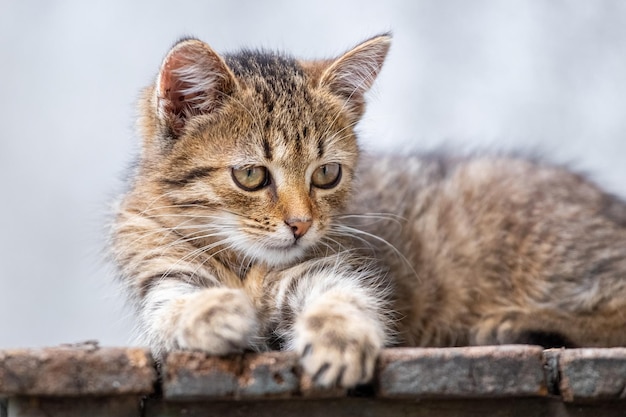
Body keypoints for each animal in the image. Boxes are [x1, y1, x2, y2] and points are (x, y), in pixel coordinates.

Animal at [111, 34, 624, 388]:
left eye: (326, 173)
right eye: (252, 175)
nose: (300, 225)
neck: (248, 263)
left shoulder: (336, 263)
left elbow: (343, 297)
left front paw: (341, 341)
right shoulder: (160, 270)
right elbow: (172, 308)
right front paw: (215, 312)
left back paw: (516, 323)